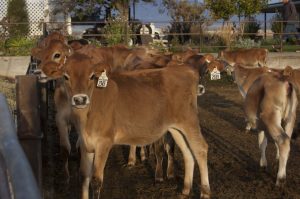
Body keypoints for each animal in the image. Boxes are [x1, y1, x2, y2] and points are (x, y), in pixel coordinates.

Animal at [42, 53, 211, 199]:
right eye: (65, 76)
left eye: (91, 76)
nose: (80, 99)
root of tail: (186, 69)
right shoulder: (85, 144)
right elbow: (84, 177)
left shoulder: (104, 142)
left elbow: (96, 180)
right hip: (175, 128)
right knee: (188, 152)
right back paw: (186, 189)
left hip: (189, 121)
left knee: (200, 149)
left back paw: (205, 192)